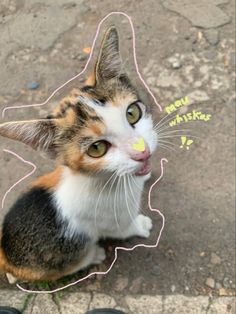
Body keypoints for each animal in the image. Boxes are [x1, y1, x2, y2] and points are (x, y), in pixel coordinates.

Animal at [0, 26, 159, 282]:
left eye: (132, 113)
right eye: (97, 148)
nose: (142, 152)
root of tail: (4, 251)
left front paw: (144, 173)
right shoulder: (112, 220)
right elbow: (124, 228)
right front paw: (141, 226)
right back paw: (94, 255)